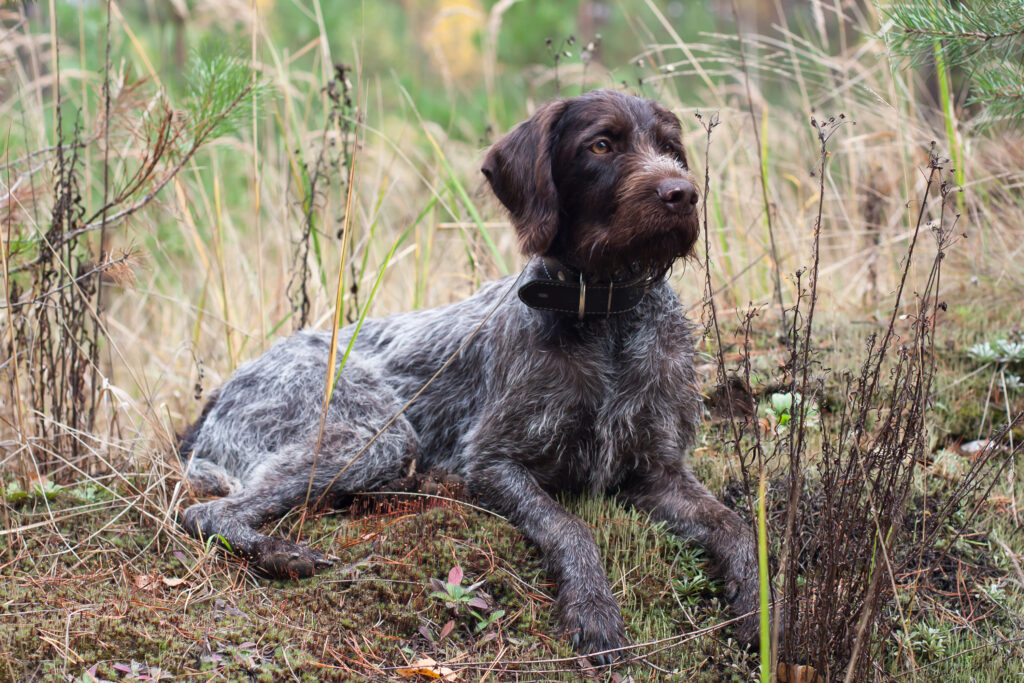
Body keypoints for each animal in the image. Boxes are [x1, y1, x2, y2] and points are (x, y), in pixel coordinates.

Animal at [180, 88, 765, 663]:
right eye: (601, 145)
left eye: (670, 147)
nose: (682, 193)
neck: (602, 312)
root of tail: (221, 393)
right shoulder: (489, 462)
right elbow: (569, 526)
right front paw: (593, 607)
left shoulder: (658, 470)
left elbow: (736, 527)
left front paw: (758, 606)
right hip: (373, 435)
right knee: (204, 514)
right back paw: (280, 553)